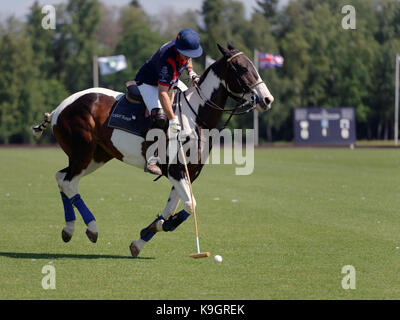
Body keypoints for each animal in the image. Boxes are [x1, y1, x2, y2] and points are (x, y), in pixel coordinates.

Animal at [32, 43, 274, 258]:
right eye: (241, 68)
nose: (267, 99)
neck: (196, 115)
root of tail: (60, 108)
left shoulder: (190, 172)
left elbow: (172, 208)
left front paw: (143, 238)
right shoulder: (175, 169)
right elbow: (190, 204)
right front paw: (164, 226)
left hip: (97, 156)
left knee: (63, 178)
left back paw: (69, 229)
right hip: (83, 150)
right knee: (68, 182)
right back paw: (91, 228)